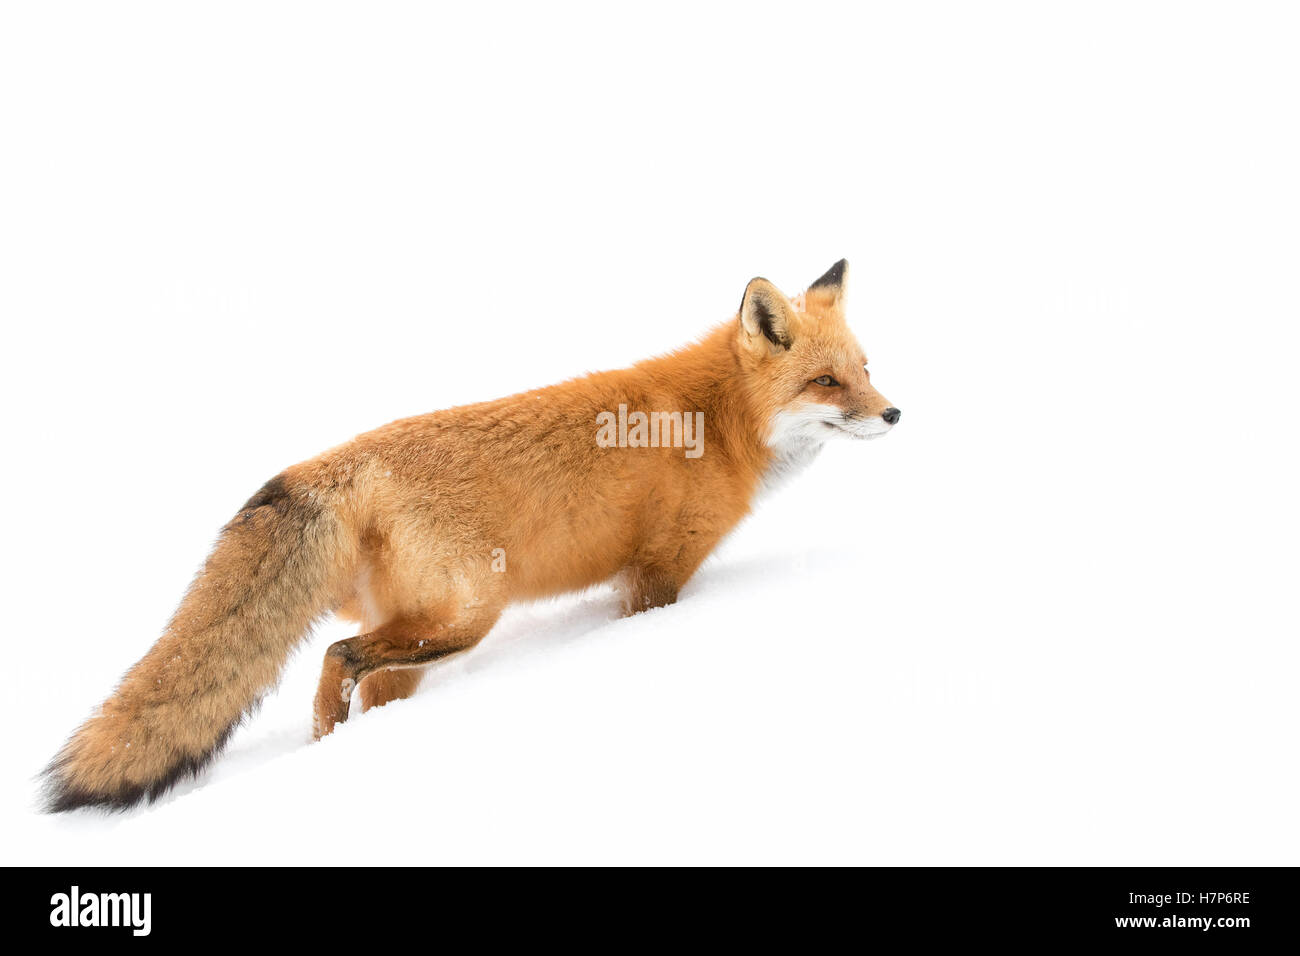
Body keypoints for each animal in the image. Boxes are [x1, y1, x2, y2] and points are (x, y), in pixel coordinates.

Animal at [42, 259, 900, 812]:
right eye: (826, 383)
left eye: (865, 370)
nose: (895, 413)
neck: (714, 423)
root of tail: (338, 462)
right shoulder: (657, 574)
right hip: (464, 618)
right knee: (335, 656)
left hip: (420, 643)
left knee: (359, 681)